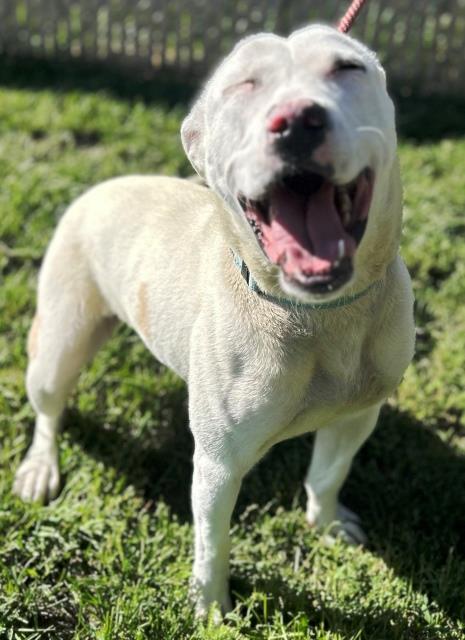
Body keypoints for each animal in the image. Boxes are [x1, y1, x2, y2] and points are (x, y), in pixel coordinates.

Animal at [13, 25, 414, 616]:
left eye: (347, 68)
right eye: (242, 85)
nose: (296, 119)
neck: (319, 314)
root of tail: (101, 186)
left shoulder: (357, 414)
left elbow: (328, 474)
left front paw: (326, 524)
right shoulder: (220, 463)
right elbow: (212, 539)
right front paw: (211, 606)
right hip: (58, 346)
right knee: (49, 410)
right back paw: (41, 467)